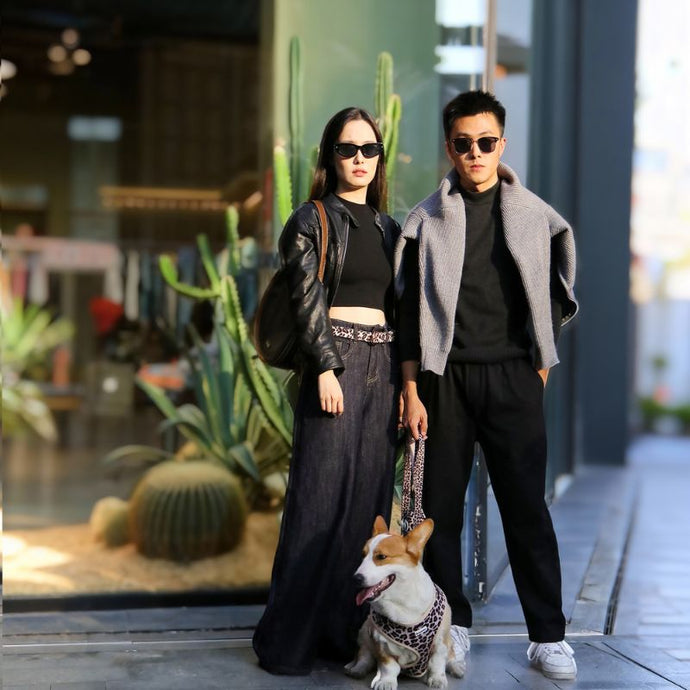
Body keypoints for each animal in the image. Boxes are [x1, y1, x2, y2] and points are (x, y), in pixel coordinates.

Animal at [345, 516, 465, 689]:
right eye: (363, 555)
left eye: (381, 557)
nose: (355, 579)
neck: (400, 601)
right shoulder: (381, 645)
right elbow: (389, 667)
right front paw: (386, 682)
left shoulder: (440, 643)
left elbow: (437, 663)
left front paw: (437, 679)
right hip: (364, 632)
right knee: (364, 655)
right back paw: (357, 669)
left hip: (448, 641)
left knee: (451, 656)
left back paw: (456, 667)